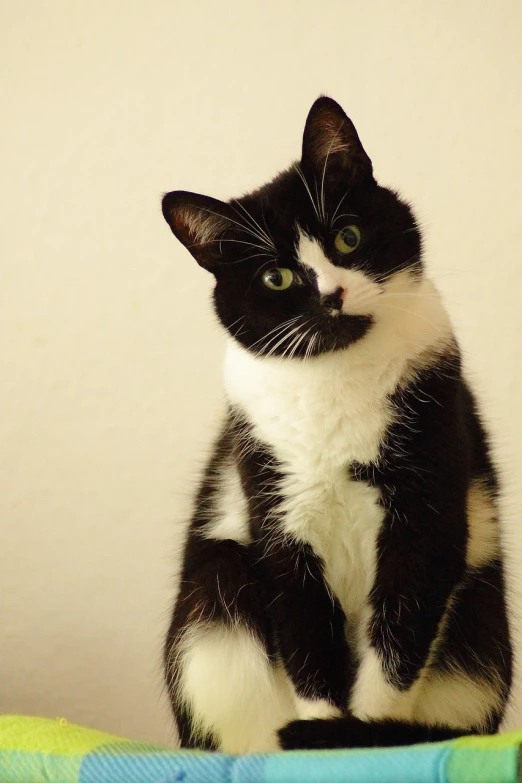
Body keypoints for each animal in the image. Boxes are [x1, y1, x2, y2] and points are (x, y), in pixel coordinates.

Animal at [160, 96, 510, 752]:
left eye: (348, 237)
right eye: (276, 277)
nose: (334, 294)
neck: (337, 378)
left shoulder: (424, 510)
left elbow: (400, 632)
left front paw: (356, 737)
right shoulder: (277, 509)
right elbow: (304, 634)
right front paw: (323, 735)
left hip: (478, 630)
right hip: (216, 590)